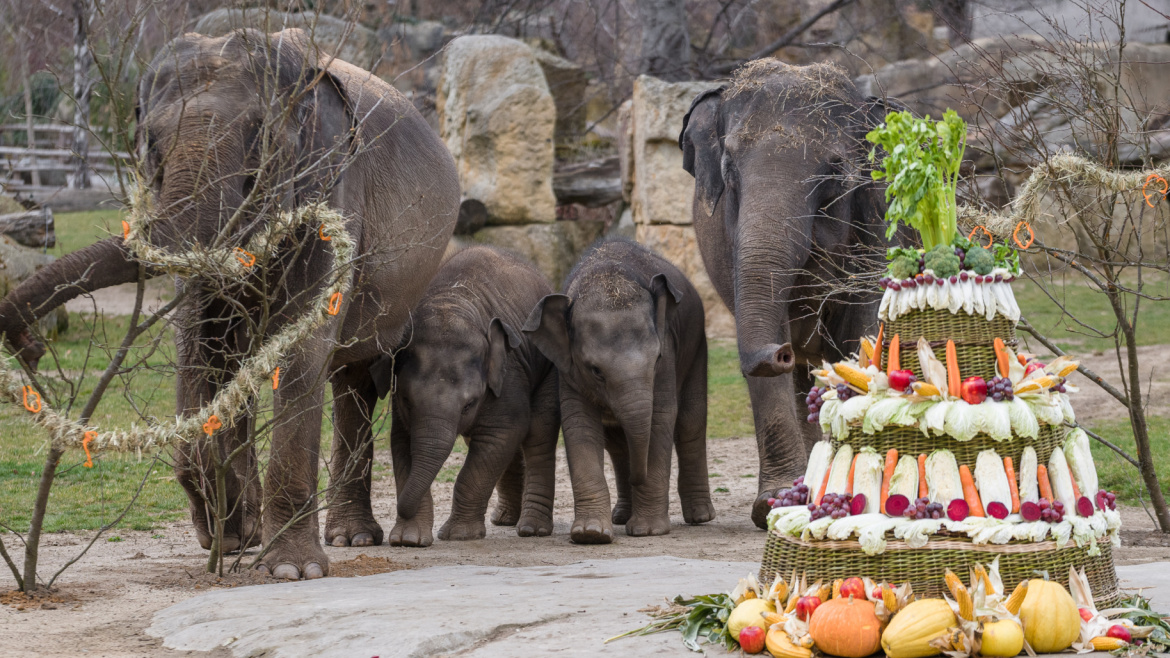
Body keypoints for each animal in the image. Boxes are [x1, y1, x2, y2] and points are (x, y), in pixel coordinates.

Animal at [0, 29, 460, 573]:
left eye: (260, 139)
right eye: (149, 143)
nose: (29, 346)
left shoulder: (333, 188)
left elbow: (299, 349)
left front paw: (289, 568)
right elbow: (201, 346)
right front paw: (233, 530)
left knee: (365, 374)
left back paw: (372, 538)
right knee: (319, 376)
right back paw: (319, 536)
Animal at [372, 244, 559, 543]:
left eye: (469, 404)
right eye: (406, 401)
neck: (450, 303)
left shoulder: (509, 374)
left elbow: (505, 432)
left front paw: (458, 535)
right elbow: (401, 443)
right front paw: (408, 540)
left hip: (549, 367)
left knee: (539, 433)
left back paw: (532, 529)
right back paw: (505, 519)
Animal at [528, 237, 711, 540]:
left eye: (657, 359)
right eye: (595, 370)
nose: (638, 477)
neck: (606, 274)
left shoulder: (668, 353)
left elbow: (661, 418)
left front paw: (648, 531)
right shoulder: (569, 370)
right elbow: (579, 423)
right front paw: (590, 534)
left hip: (697, 346)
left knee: (689, 423)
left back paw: (700, 516)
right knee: (618, 444)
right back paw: (621, 516)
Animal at [678, 58, 893, 524]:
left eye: (835, 171)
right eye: (728, 169)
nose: (778, 353)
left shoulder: (878, 224)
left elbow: (859, 331)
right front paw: (775, 502)